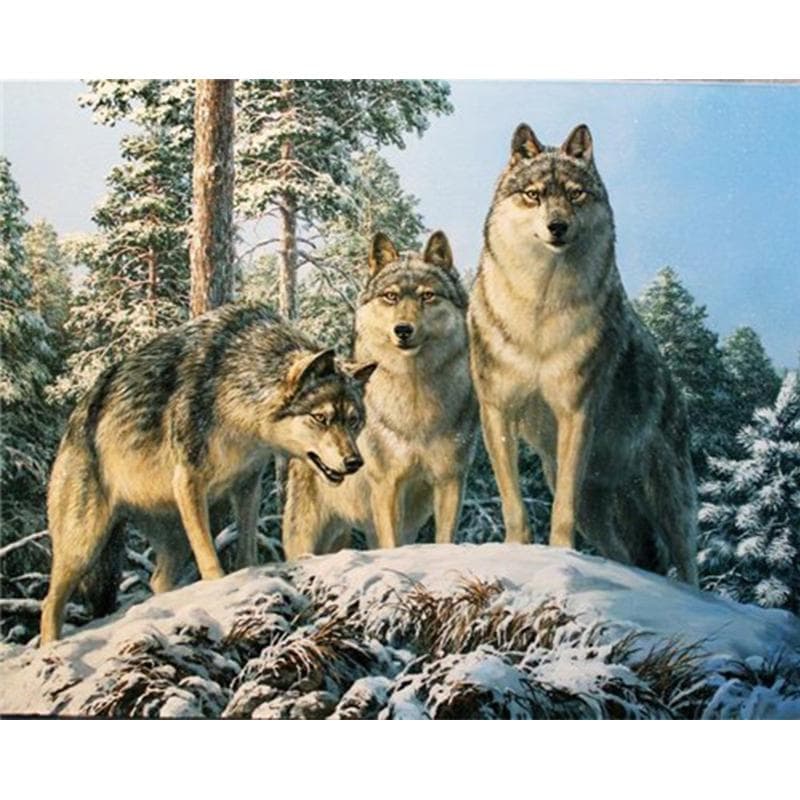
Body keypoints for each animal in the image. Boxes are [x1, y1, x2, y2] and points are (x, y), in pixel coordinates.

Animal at [40, 304, 376, 643]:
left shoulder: (248, 483)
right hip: (83, 546)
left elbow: (246, 546)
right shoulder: (189, 481)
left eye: (354, 420)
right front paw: (219, 587)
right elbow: (208, 556)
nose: (354, 462)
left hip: (172, 542)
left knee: (157, 580)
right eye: (321, 418)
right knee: (49, 603)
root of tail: (74, 421)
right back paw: (50, 646)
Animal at [283, 231, 479, 558]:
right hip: (309, 535)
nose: (403, 330)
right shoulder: (387, 485)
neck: (416, 404)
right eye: (391, 297)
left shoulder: (450, 480)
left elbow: (444, 538)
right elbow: (392, 543)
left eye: (427, 296)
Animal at [468, 123, 698, 583]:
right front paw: (516, 549)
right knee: (630, 557)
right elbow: (513, 501)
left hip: (669, 503)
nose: (557, 226)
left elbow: (561, 508)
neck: (540, 308)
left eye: (575, 195)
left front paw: (559, 553)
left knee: (686, 567)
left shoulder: (576, 413)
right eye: (534, 194)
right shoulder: (497, 412)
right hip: (592, 503)